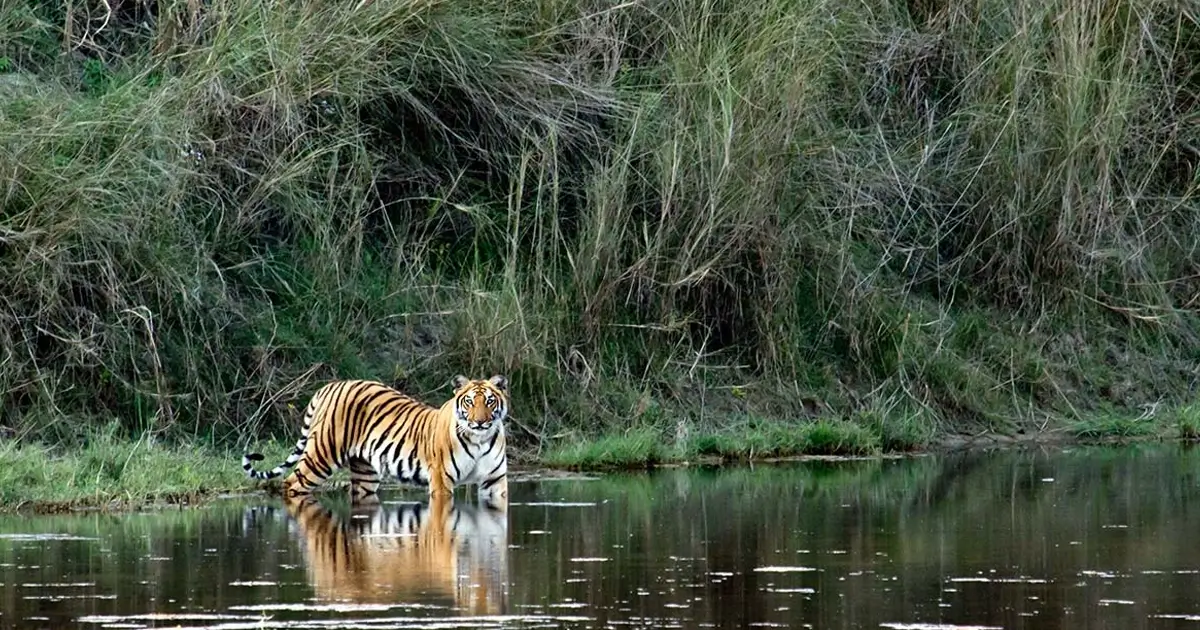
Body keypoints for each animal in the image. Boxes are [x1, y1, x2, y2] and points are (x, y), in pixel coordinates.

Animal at [242, 375, 509, 506]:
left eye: (489, 401)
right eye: (469, 402)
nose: (480, 422)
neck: (480, 439)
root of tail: (328, 387)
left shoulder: (495, 481)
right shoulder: (441, 481)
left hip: (365, 473)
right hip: (320, 457)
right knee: (290, 484)